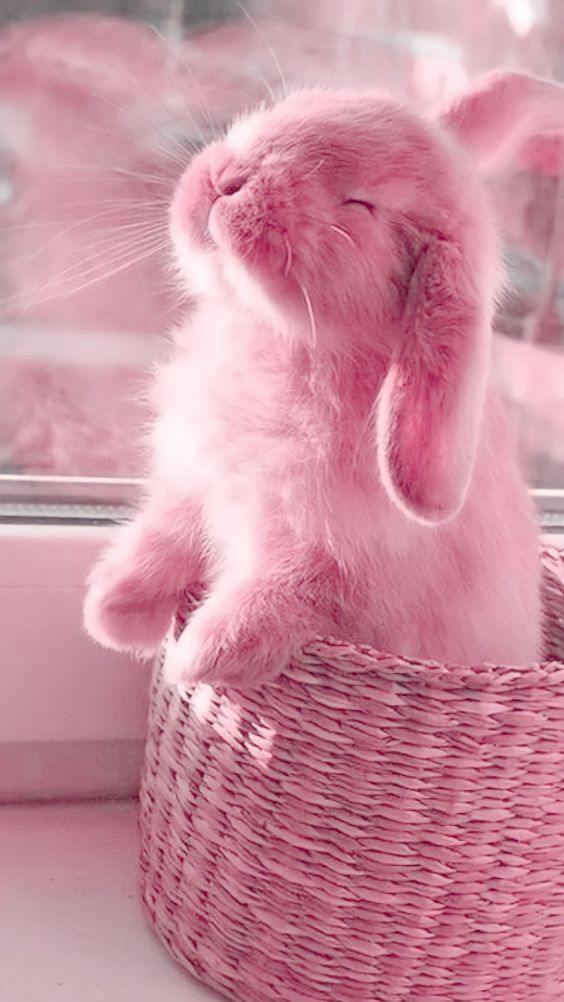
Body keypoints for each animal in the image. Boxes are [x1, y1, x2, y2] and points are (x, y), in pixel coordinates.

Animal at [85, 70, 556, 685]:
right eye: (291, 109)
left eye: (360, 205)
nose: (229, 179)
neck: (285, 342)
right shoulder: (197, 481)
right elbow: (165, 537)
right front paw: (112, 610)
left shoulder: (332, 562)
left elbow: (285, 593)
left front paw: (204, 654)